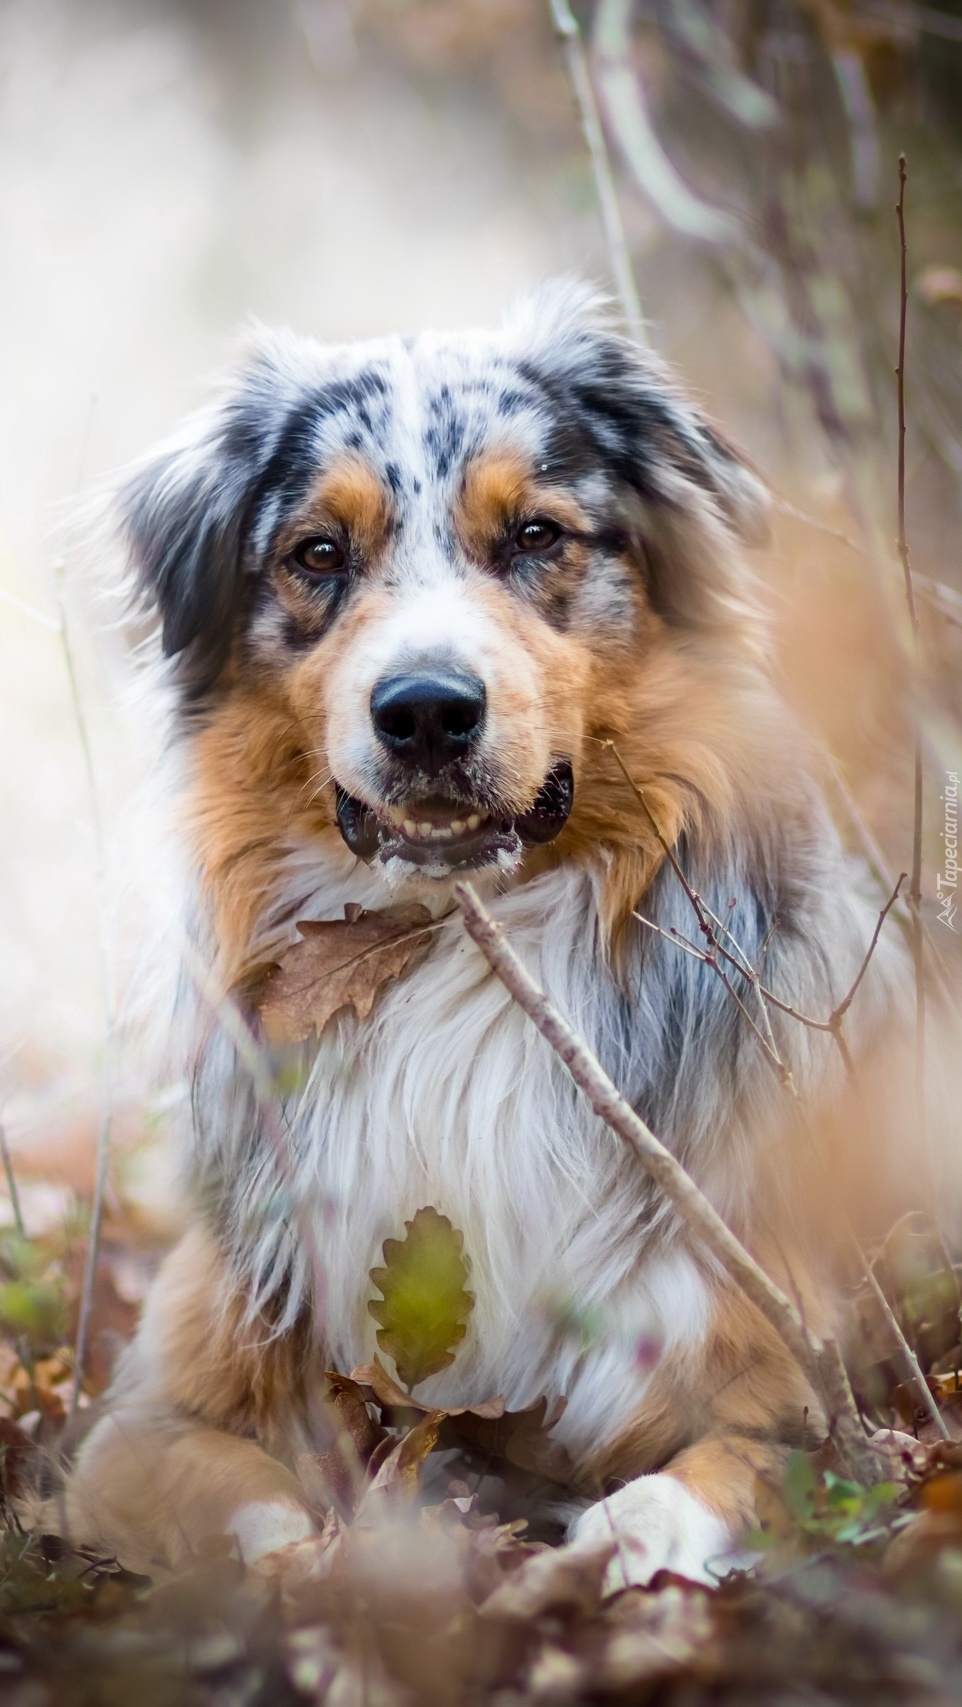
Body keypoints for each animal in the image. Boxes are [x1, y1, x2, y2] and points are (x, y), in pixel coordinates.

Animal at [65, 283, 900, 1584]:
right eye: (317, 554)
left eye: (536, 538)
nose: (424, 712)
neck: (462, 951)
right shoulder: (143, 1414)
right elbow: (251, 1499)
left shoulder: (801, 1383)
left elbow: (739, 1465)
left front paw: (633, 1534)